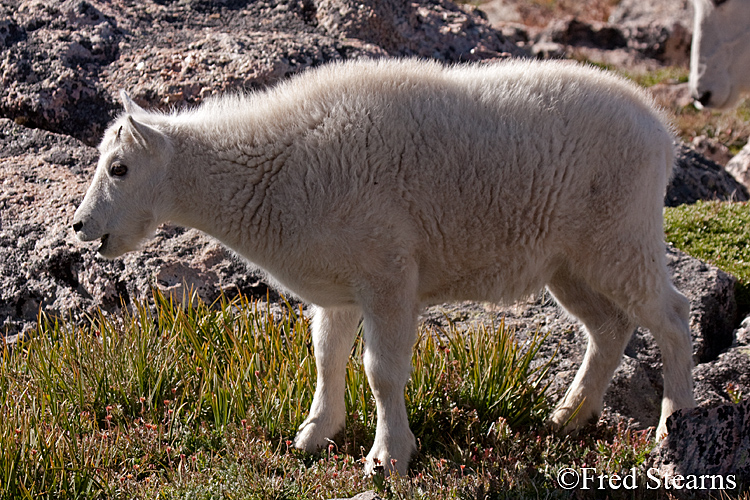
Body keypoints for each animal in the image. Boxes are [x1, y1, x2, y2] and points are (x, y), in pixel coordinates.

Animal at [73, 56, 696, 474]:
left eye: (119, 168)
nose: (81, 227)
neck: (274, 169)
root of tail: (663, 133)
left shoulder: (388, 273)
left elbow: (382, 369)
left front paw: (389, 457)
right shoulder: (340, 287)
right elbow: (326, 355)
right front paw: (314, 435)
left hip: (621, 237)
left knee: (671, 314)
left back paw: (674, 428)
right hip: (569, 262)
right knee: (610, 327)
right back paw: (567, 417)